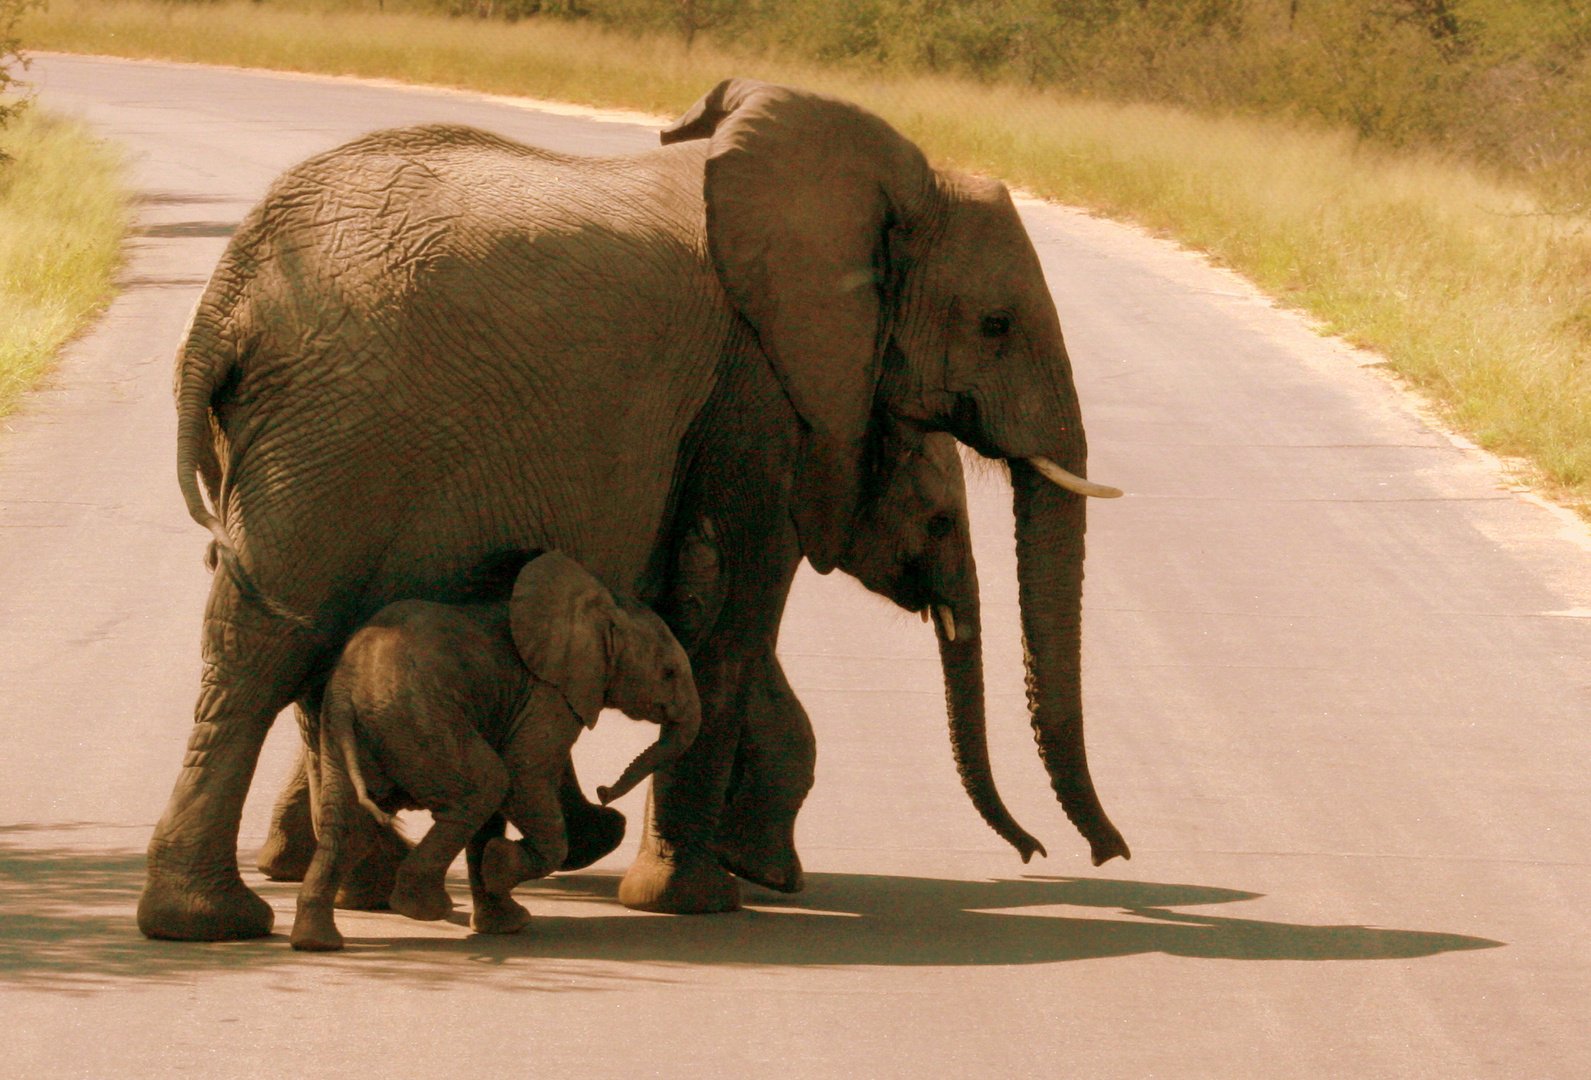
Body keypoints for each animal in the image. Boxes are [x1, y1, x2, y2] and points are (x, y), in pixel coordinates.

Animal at [294, 553, 703, 947]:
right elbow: (523, 776)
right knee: (487, 784)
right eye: (668, 672)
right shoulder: (548, 695)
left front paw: (504, 916)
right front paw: (499, 867)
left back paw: (318, 942)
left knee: (347, 825)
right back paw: (424, 908)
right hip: (414, 714)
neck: (599, 608)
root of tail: (348, 690)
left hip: (351, 727)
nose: (604, 791)